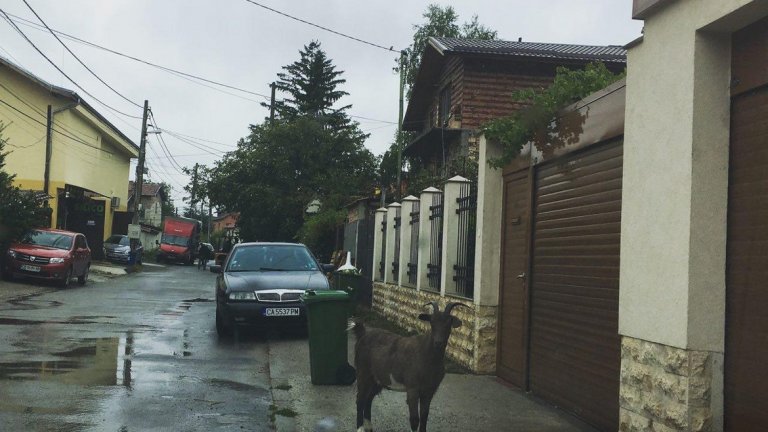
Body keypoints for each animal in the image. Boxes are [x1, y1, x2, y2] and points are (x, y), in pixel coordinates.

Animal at [350, 300, 464, 432]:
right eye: (432, 322)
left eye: (449, 323)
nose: (438, 342)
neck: (427, 355)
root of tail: (363, 335)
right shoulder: (412, 388)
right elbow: (414, 419)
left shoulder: (429, 391)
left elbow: (424, 416)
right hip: (363, 372)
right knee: (360, 400)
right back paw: (360, 428)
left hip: (378, 380)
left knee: (368, 399)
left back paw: (369, 427)